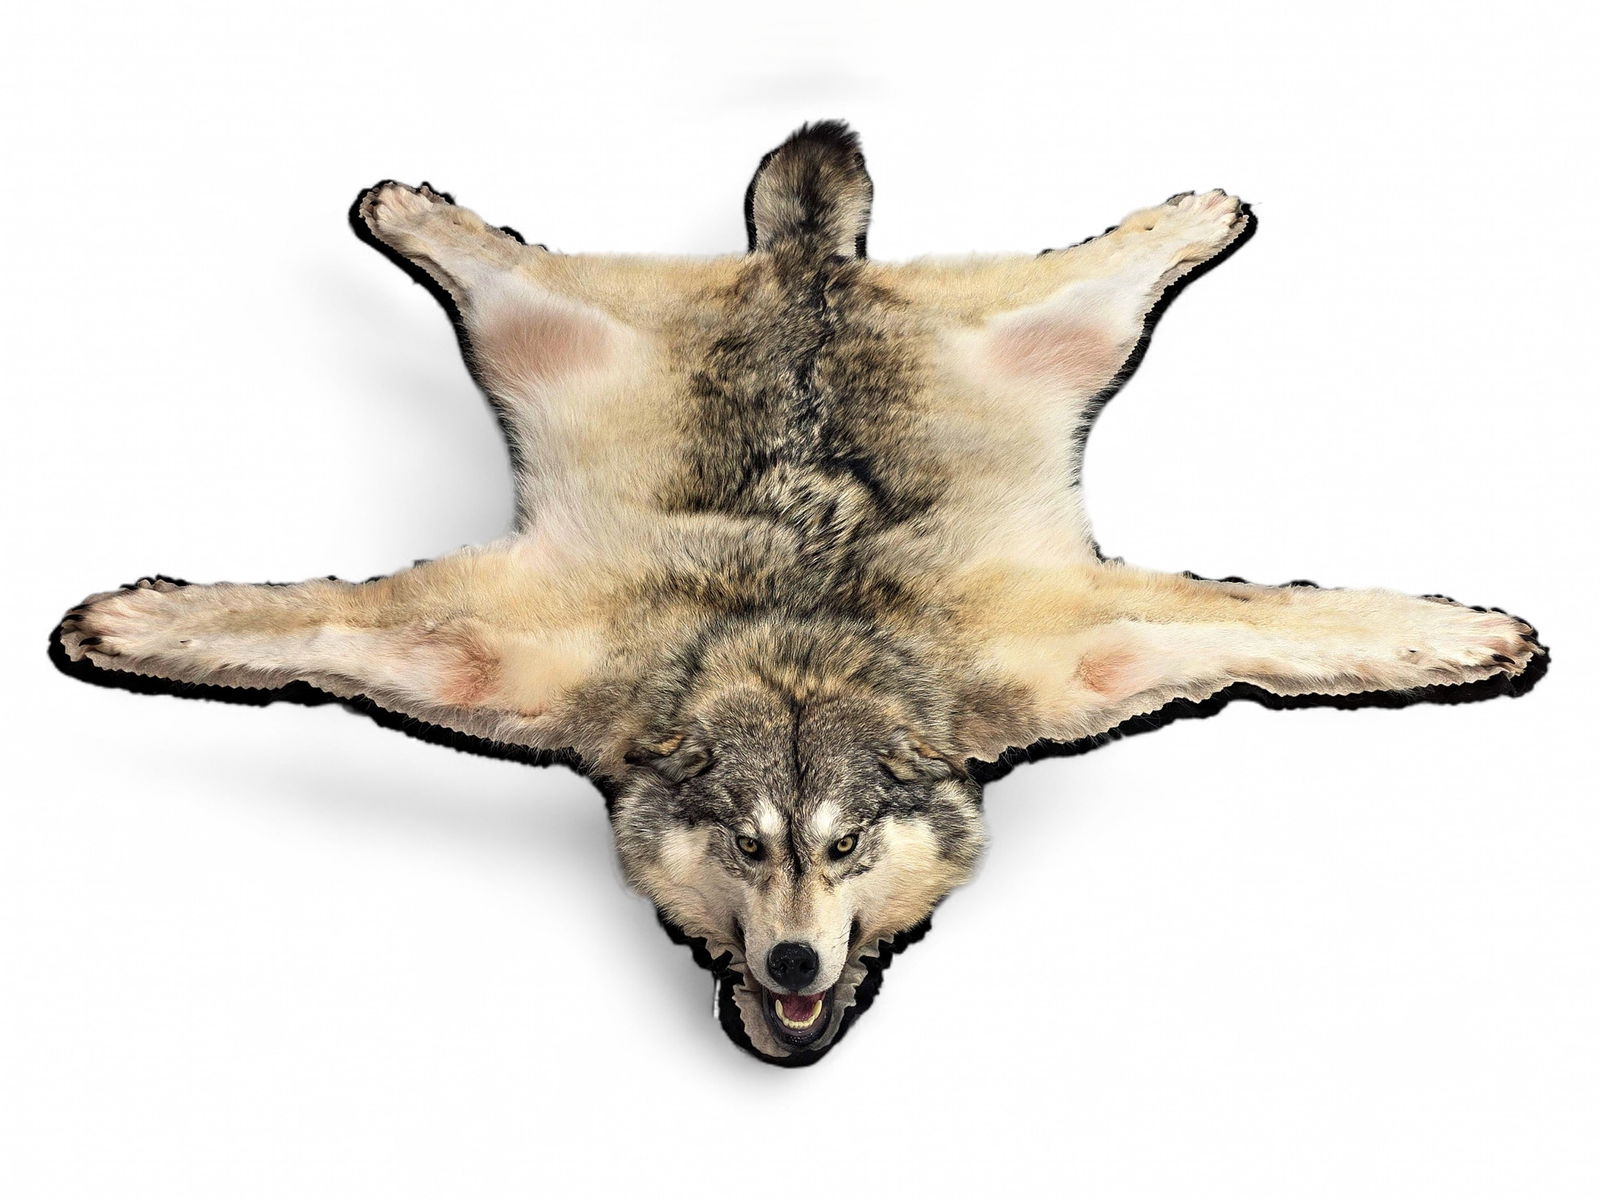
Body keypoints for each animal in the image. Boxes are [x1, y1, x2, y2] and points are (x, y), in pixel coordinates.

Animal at [54, 122, 1545, 1064]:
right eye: (745, 842)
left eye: (845, 845)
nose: (790, 968)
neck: (802, 641)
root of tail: (806, 263)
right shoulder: (504, 657)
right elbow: (300, 621)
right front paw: (134, 620)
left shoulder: (1073, 655)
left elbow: (1292, 624)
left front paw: (1462, 635)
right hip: (549, 337)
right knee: (497, 262)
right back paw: (407, 208)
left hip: (1053, 338)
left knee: (1110, 265)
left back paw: (1201, 213)